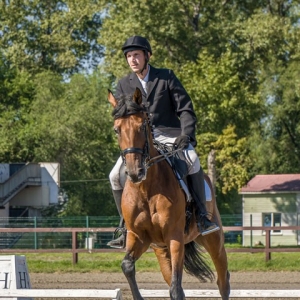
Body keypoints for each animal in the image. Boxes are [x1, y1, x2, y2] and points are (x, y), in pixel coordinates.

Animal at [108, 88, 230, 298]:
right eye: (117, 130)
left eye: (142, 126)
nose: (135, 172)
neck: (146, 189)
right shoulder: (138, 237)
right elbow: (127, 266)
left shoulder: (174, 237)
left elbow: (176, 289)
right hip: (161, 248)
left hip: (213, 240)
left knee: (223, 281)